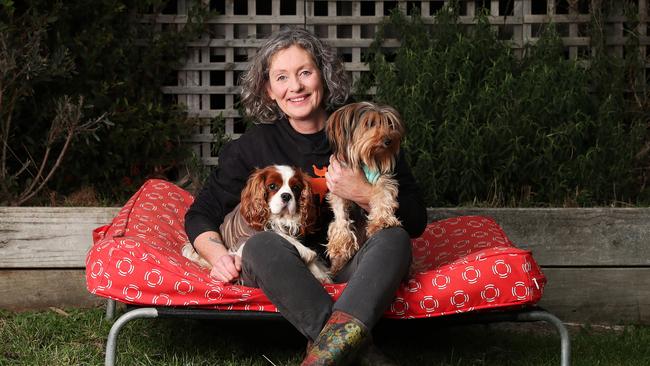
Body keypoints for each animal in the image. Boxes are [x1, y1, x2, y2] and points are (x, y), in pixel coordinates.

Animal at [184, 165, 332, 284]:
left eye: (295, 188)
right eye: (272, 186)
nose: (286, 196)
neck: (278, 218)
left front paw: (319, 273)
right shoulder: (242, 243)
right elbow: (275, 233)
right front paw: (306, 251)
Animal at [326, 101, 402, 274]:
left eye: (390, 124)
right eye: (370, 124)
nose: (389, 140)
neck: (365, 160)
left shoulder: (382, 178)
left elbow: (383, 196)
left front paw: (382, 220)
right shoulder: (337, 189)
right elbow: (340, 214)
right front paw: (341, 243)